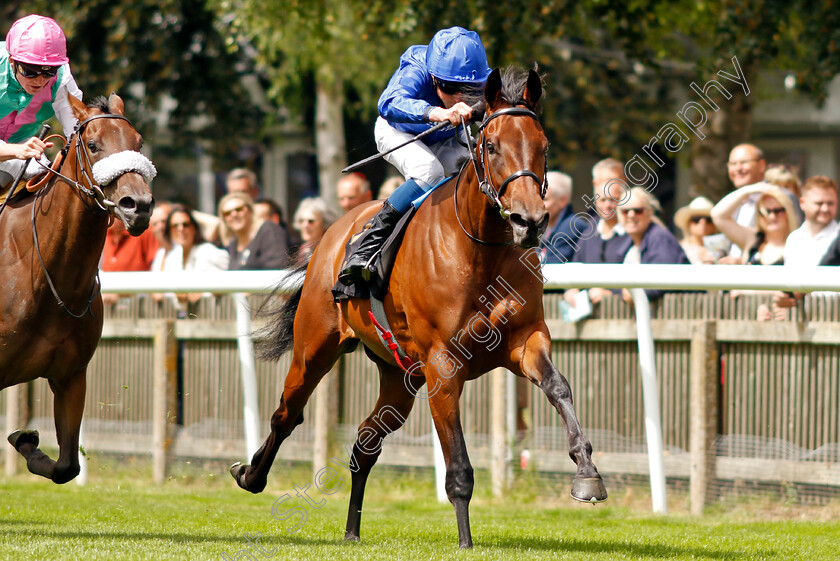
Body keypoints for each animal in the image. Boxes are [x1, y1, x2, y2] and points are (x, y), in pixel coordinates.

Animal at [0, 92, 154, 482]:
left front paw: (24, 438)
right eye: (93, 145)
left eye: (139, 143)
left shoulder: (71, 376)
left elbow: (66, 466)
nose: (138, 205)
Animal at [233, 68, 608, 544]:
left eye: (543, 146)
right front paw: (466, 543)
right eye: (491, 145)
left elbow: (559, 387)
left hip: (399, 376)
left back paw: (352, 531)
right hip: (314, 347)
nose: (531, 221)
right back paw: (251, 475)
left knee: (365, 443)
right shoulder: (443, 366)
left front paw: (587, 473)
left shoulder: (526, 340)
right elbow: (459, 468)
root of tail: (331, 234)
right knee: (287, 414)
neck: (480, 249)